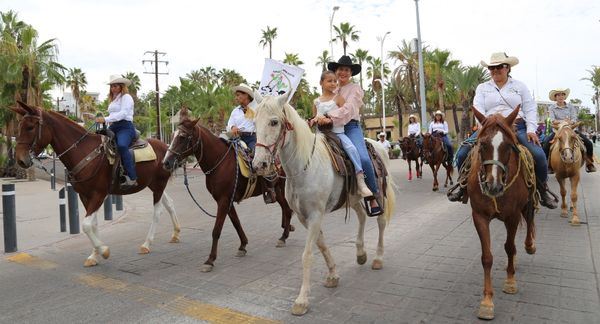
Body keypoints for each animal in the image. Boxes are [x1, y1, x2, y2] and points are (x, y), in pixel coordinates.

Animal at [10, 102, 179, 268]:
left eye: (30, 127)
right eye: (19, 127)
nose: (20, 160)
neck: (84, 152)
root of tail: (166, 147)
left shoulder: (99, 194)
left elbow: (86, 225)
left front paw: (103, 250)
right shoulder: (85, 196)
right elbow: (93, 224)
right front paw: (95, 255)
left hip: (159, 184)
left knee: (157, 212)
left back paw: (146, 244)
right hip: (153, 184)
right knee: (170, 203)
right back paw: (176, 233)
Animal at [162, 110, 296, 272]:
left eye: (182, 137)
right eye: (173, 135)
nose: (166, 162)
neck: (220, 163)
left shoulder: (223, 200)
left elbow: (216, 230)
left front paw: (210, 260)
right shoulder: (227, 200)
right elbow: (236, 222)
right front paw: (243, 245)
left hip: (280, 187)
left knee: (287, 209)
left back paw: (283, 236)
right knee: (286, 209)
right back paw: (285, 233)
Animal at [252, 94, 396, 316]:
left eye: (274, 122)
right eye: (254, 122)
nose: (259, 164)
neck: (305, 167)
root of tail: (379, 146)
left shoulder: (315, 215)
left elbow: (307, 255)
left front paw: (302, 300)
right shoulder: (304, 217)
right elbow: (321, 245)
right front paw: (333, 275)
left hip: (379, 194)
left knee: (380, 221)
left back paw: (378, 258)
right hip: (353, 198)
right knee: (362, 217)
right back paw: (361, 253)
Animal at [466, 107, 536, 320]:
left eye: (508, 146)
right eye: (482, 144)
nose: (493, 185)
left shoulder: (512, 217)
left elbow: (509, 247)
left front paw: (510, 281)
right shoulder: (479, 216)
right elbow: (487, 257)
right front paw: (487, 302)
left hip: (527, 205)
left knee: (530, 221)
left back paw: (530, 246)